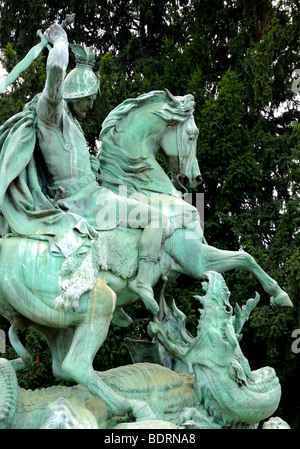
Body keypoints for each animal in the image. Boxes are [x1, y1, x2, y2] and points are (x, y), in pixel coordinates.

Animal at [0, 88, 290, 424]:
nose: (194, 180)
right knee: (76, 365)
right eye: (192, 134)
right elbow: (245, 258)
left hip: (55, 323)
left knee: (62, 366)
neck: (149, 191)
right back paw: (135, 406)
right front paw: (280, 294)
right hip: (98, 303)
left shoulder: (193, 262)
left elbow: (245, 259)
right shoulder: (196, 260)